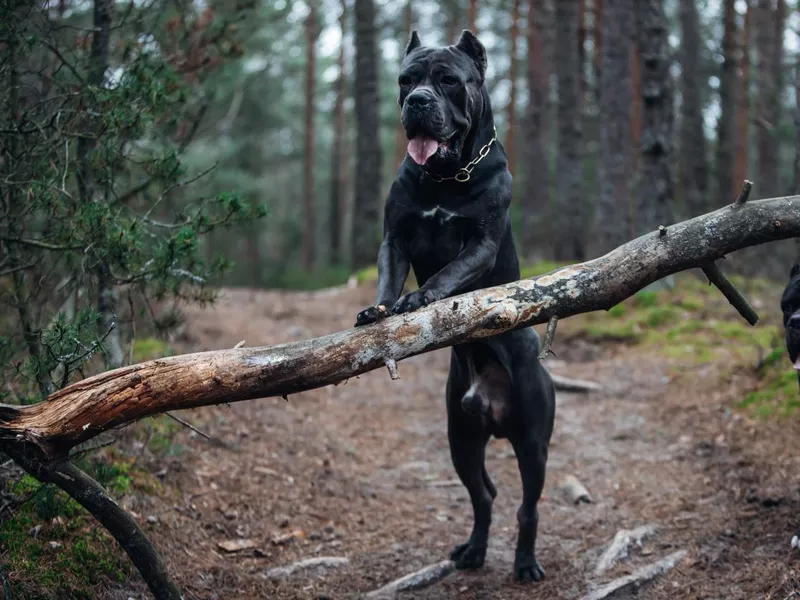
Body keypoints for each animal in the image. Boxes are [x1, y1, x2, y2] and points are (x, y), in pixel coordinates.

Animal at [356, 30, 556, 584]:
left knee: (527, 506)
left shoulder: (481, 245)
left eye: (447, 80)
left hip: (533, 443)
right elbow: (387, 277)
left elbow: (448, 276)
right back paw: (473, 551)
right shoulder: (394, 239)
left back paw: (525, 563)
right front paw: (379, 310)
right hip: (461, 440)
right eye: (405, 80)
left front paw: (420, 297)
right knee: (484, 496)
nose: (418, 101)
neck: (446, 176)